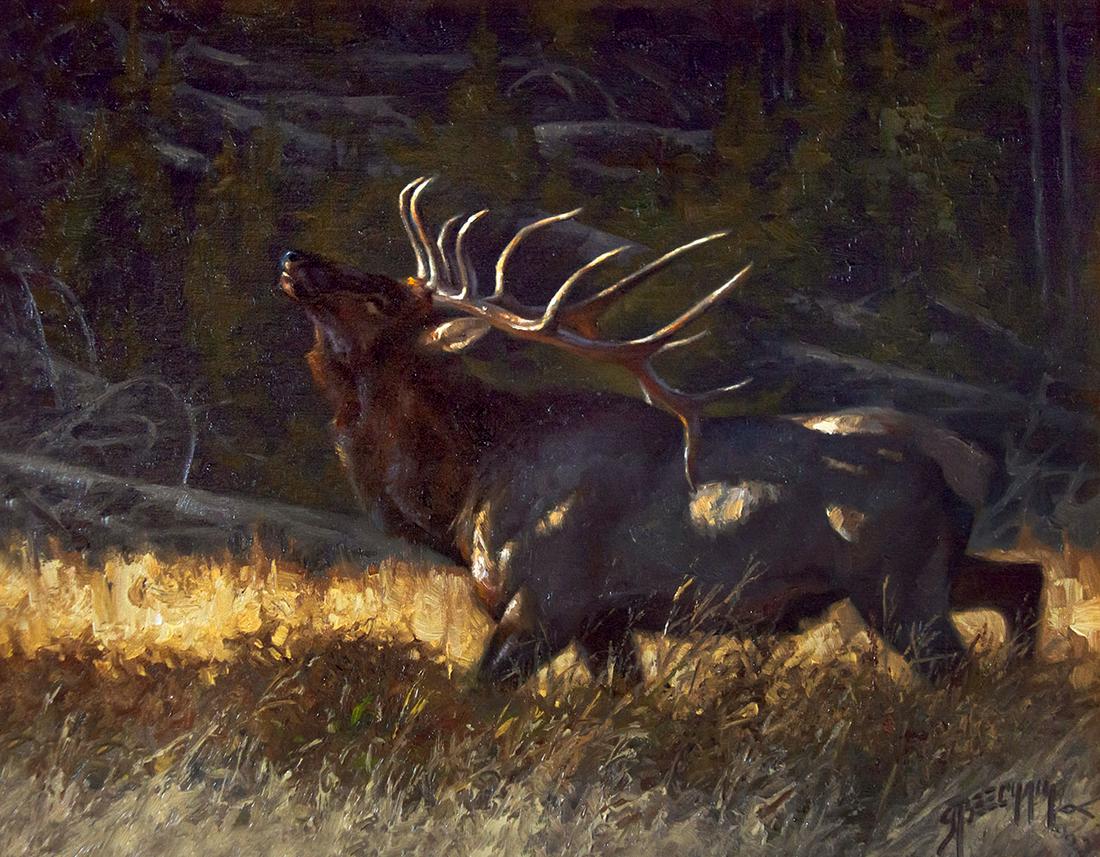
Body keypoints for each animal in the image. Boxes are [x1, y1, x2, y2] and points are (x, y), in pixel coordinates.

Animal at [279, 176, 1044, 687]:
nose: (293, 258)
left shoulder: (548, 601)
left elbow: (479, 695)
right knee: (1026, 580)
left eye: (383, 297)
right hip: (935, 569)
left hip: (899, 584)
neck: (469, 486)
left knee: (960, 666)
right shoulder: (604, 622)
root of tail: (973, 460)